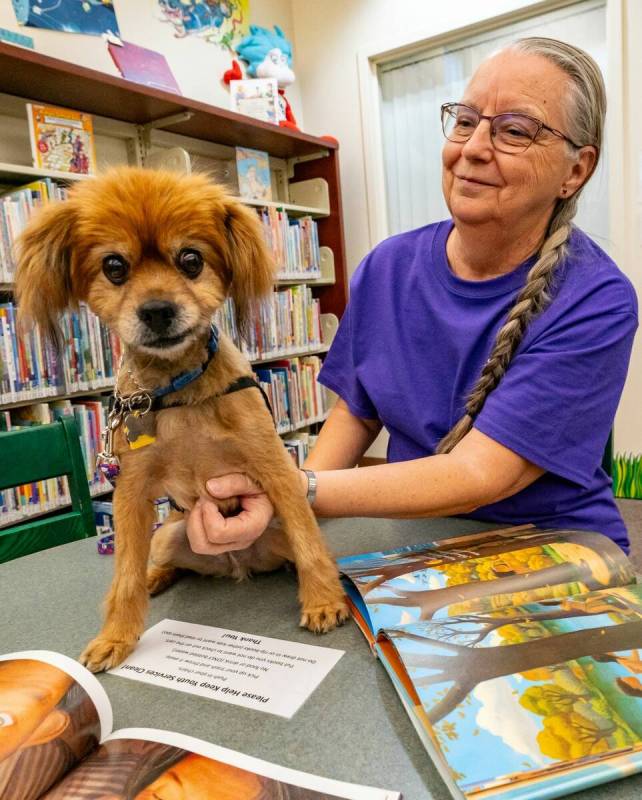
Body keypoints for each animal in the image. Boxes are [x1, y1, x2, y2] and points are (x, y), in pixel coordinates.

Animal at [16, 167, 344, 668]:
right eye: (114, 266)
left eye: (191, 259)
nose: (156, 310)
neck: (180, 391)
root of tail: (236, 564)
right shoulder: (132, 492)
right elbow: (125, 574)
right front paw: (117, 634)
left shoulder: (275, 470)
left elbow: (311, 544)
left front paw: (323, 599)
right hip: (168, 534)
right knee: (158, 561)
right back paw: (157, 576)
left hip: (271, 532)